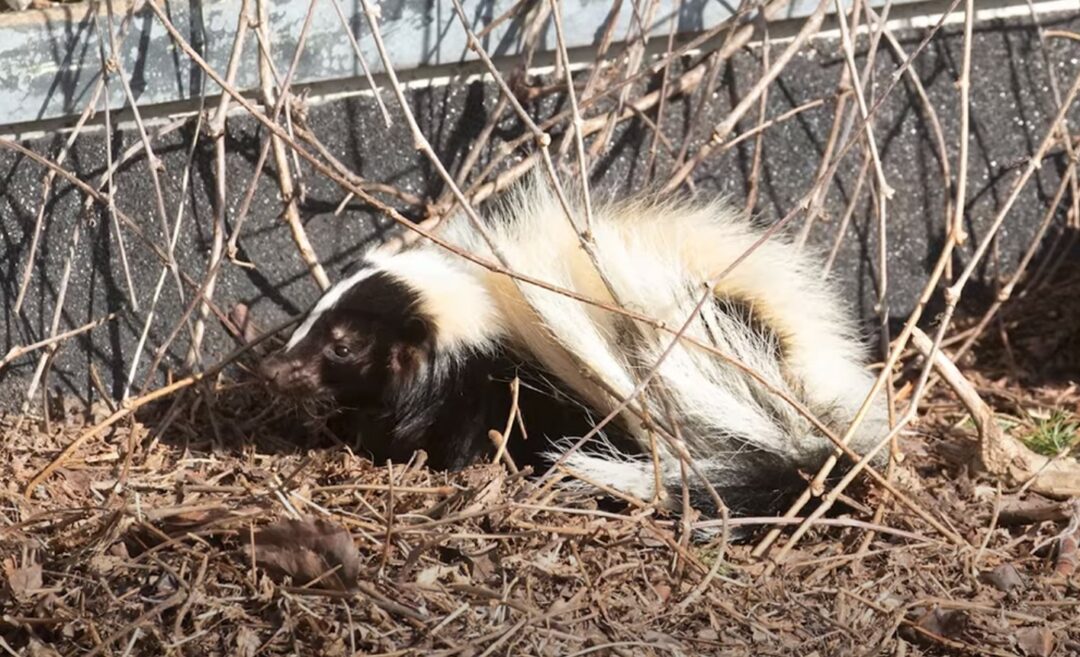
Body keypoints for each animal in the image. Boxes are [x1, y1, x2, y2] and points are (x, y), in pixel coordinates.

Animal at [261, 177, 885, 516]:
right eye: (310, 317)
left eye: (343, 348)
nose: (273, 369)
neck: (482, 302)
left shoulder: (490, 387)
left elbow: (458, 440)